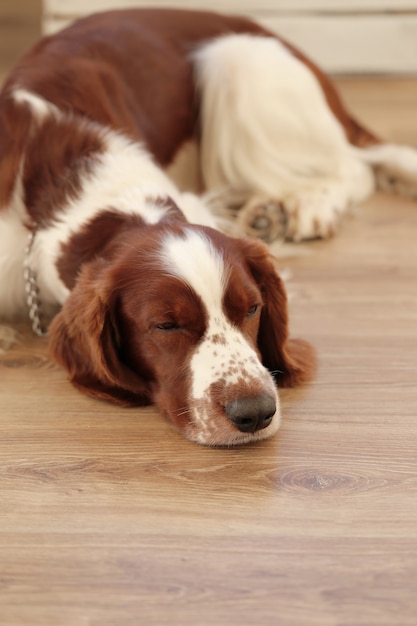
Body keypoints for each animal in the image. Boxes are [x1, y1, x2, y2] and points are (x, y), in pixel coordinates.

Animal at [0, 6, 414, 444]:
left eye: (252, 308)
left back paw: (303, 206)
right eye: (166, 325)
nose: (255, 412)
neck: (66, 175)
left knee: (354, 166)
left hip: (234, 60)